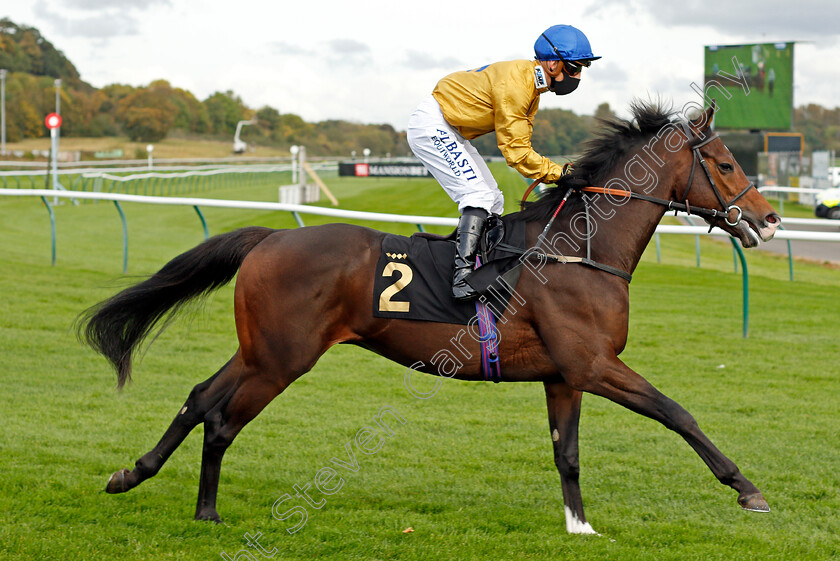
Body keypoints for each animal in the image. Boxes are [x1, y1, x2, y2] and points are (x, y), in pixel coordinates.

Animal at [80, 101, 780, 532]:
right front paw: (747, 488)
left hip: (260, 350)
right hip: (281, 359)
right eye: (724, 163)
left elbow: (569, 455)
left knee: (201, 397)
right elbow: (678, 413)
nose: (770, 218)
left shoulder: (564, 375)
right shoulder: (595, 363)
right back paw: (204, 510)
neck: (577, 248)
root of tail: (271, 237)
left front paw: (580, 525)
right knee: (222, 418)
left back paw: (137, 477)